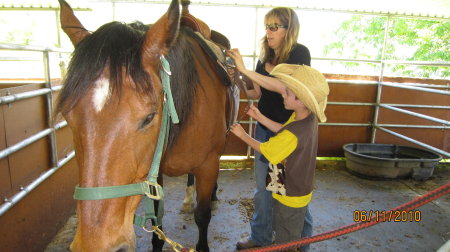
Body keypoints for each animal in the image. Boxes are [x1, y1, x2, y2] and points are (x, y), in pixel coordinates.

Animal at [56, 0, 237, 251]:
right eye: (67, 116)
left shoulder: (208, 165)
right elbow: (156, 223)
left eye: (149, 117)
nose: (94, 244)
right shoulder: (154, 171)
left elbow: (202, 216)